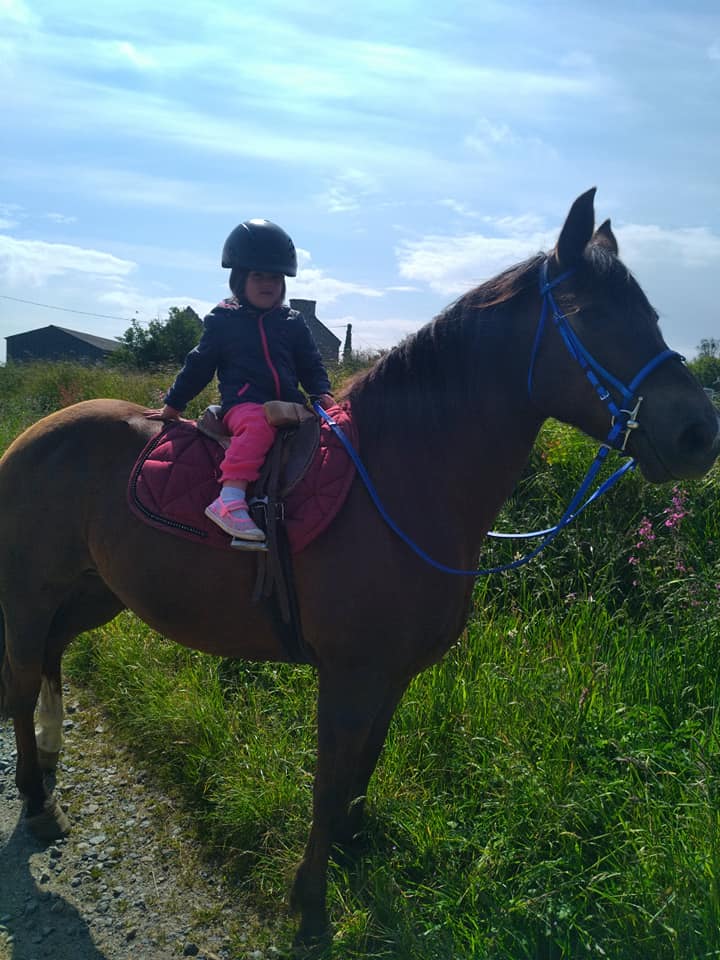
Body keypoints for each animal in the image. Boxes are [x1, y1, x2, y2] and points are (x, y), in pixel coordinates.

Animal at [1, 189, 720, 944]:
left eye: (652, 315)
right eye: (594, 315)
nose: (700, 433)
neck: (401, 479)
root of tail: (37, 432)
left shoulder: (393, 675)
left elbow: (361, 772)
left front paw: (351, 850)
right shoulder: (347, 677)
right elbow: (329, 782)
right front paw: (312, 905)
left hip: (94, 593)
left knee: (50, 657)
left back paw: (48, 761)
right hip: (30, 593)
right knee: (21, 678)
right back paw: (37, 802)